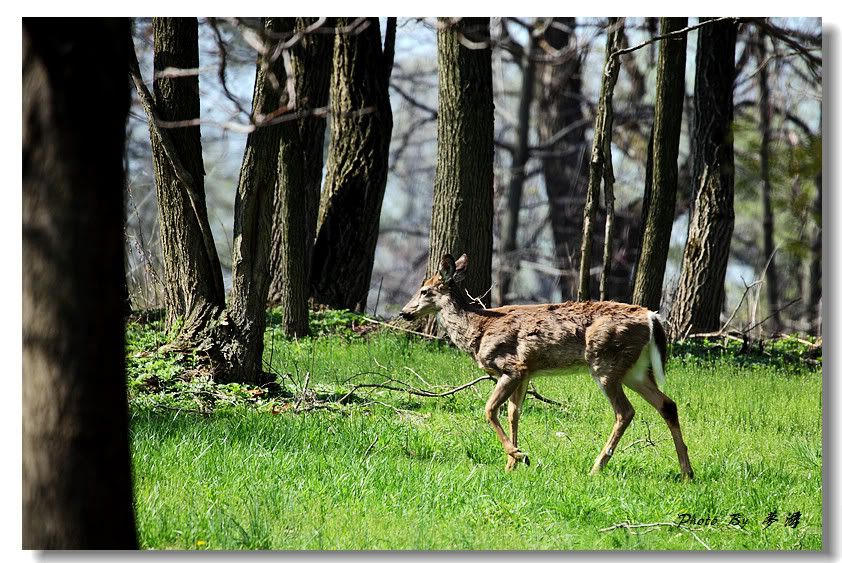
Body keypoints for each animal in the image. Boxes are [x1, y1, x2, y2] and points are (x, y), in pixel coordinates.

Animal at [398, 256, 692, 480]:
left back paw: (597, 467)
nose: (404, 312)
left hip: (605, 363)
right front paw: (511, 464)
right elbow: (513, 414)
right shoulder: (527, 372)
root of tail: (652, 317)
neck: (478, 329)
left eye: (425, 290)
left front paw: (520, 455)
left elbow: (490, 409)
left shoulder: (512, 366)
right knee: (667, 404)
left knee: (625, 412)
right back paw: (687, 472)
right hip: (635, 369)